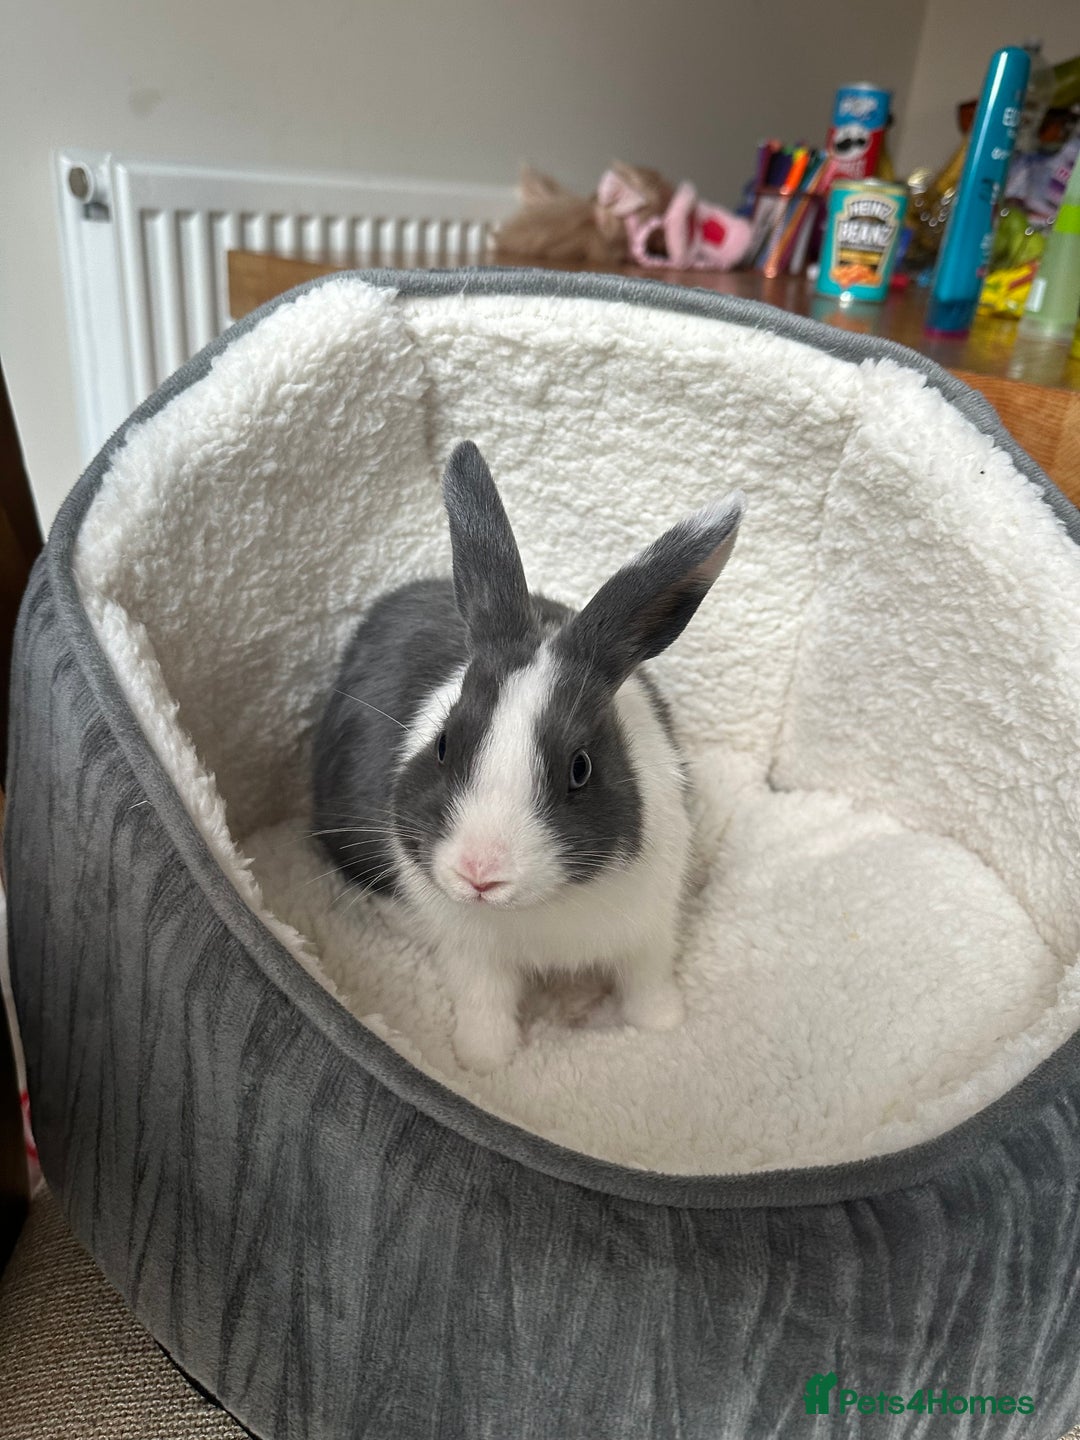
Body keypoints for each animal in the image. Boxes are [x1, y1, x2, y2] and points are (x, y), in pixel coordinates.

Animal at [312, 441, 745, 1073]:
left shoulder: (650, 930)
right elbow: (484, 1002)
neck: (544, 908)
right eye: (443, 744)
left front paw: (662, 1025)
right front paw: (483, 1061)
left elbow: (647, 980)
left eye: (581, 768)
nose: (479, 874)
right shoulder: (471, 953)